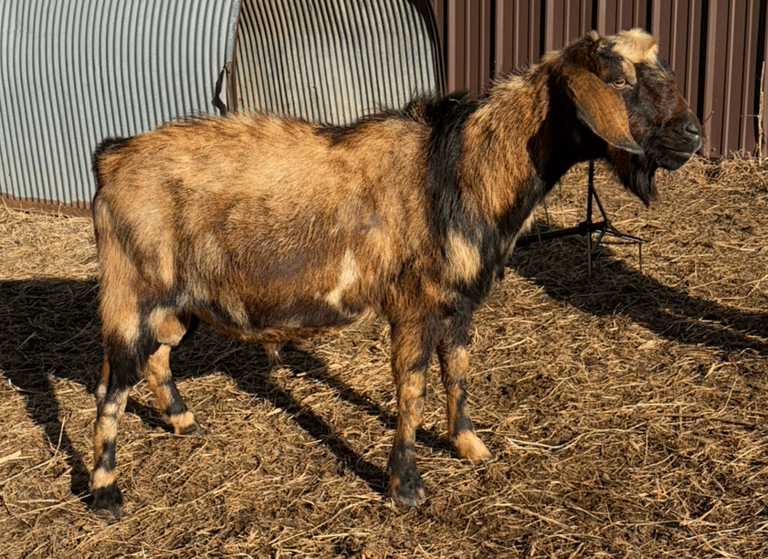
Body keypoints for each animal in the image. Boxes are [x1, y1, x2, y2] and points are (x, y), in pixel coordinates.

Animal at [89, 29, 701, 516]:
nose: (693, 133)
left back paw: (183, 421)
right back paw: (104, 492)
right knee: (112, 384)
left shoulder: (458, 302)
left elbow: (458, 371)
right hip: (132, 292)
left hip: (178, 301)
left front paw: (470, 447)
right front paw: (405, 487)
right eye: (618, 78)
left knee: (156, 358)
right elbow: (413, 388)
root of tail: (111, 158)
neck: (461, 167)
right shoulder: (414, 304)